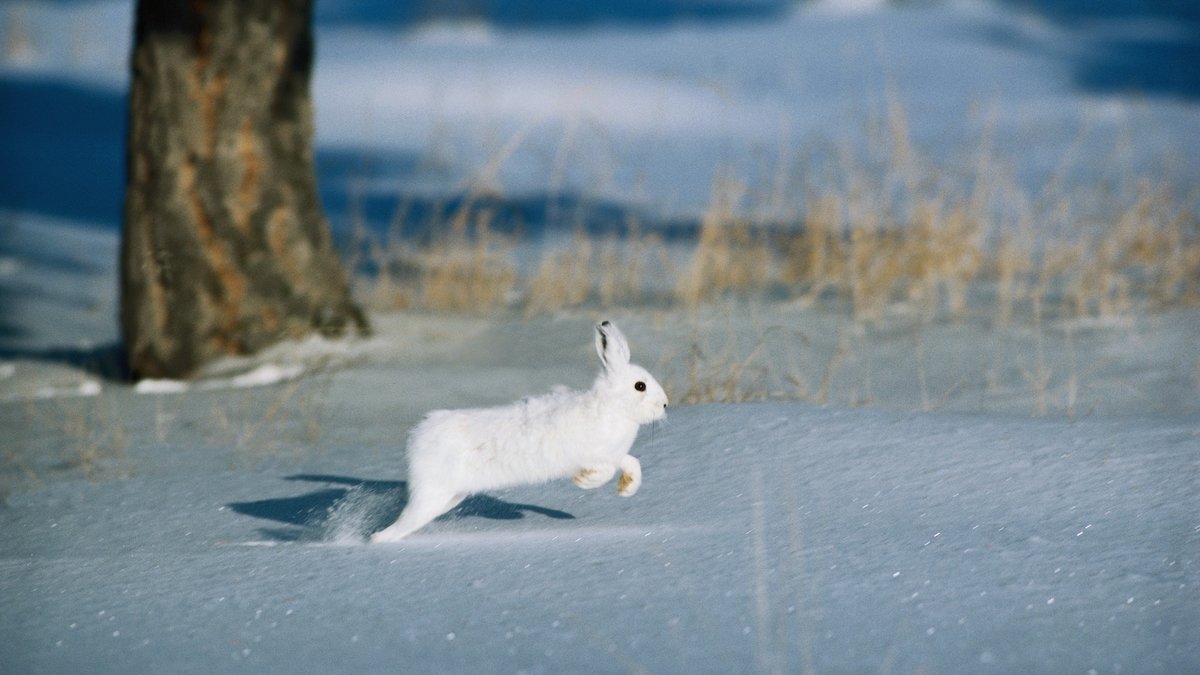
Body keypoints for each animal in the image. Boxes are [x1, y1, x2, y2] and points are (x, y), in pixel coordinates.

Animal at [370, 320, 668, 542]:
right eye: (640, 386)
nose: (665, 404)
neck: (612, 408)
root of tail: (418, 436)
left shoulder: (615, 456)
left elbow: (633, 463)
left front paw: (626, 490)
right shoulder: (589, 455)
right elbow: (602, 471)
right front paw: (584, 482)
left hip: (449, 496)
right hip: (432, 495)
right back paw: (376, 540)